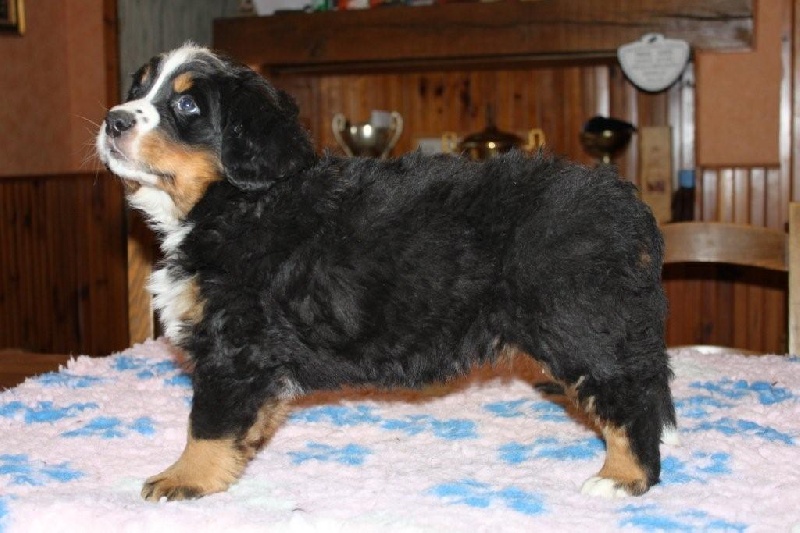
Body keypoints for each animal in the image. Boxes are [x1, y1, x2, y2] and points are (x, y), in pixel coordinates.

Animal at [96, 44, 676, 502]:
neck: (234, 202)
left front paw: (182, 478)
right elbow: (247, 414)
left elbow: (207, 424)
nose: (113, 119)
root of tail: (624, 202)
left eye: (186, 104)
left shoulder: (233, 343)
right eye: (139, 88)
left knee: (630, 397)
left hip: (580, 323)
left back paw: (623, 477)